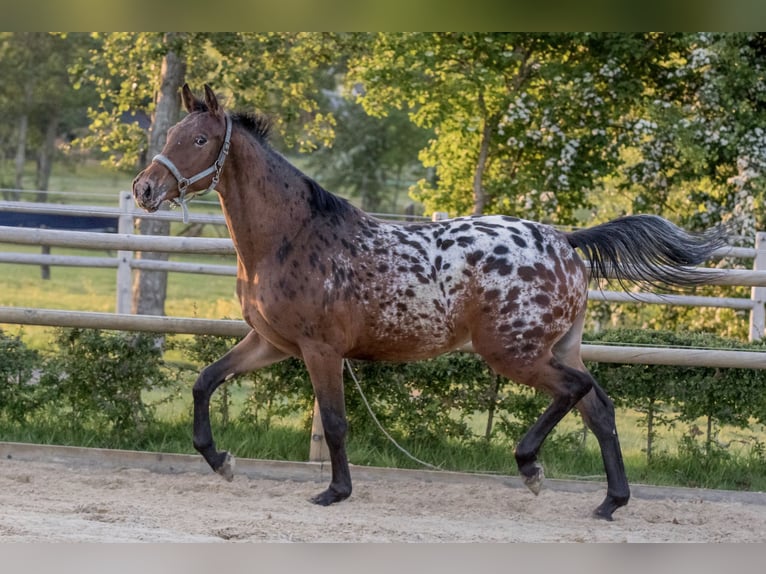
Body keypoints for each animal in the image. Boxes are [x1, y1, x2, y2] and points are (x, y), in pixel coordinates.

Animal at [134, 84, 732, 520]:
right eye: (175, 132)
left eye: (200, 139)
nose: (144, 189)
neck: (290, 235)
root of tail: (565, 241)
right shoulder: (270, 342)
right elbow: (204, 382)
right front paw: (221, 461)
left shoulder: (320, 350)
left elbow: (335, 423)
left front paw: (335, 492)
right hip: (559, 346)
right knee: (600, 408)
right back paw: (610, 502)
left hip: (512, 353)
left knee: (576, 393)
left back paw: (531, 468)